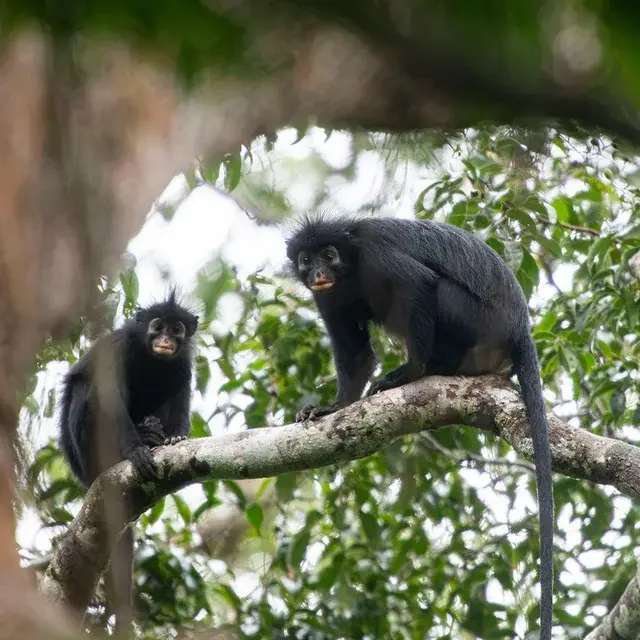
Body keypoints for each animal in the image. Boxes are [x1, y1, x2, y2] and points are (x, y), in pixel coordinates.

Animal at [58, 289, 198, 633]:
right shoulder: (118, 349)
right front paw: (135, 451)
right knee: (87, 388)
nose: (165, 340)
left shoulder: (183, 362)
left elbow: (182, 386)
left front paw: (176, 438)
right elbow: (108, 397)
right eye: (157, 326)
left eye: (177, 329)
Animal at [286, 215, 554, 640]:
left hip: (477, 321)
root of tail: (519, 328)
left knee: (435, 290)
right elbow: (356, 353)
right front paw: (332, 408)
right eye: (306, 260)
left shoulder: (376, 254)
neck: (350, 266)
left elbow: (420, 284)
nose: (318, 273)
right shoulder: (328, 297)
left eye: (329, 255)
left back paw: (433, 368)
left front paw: (411, 372)